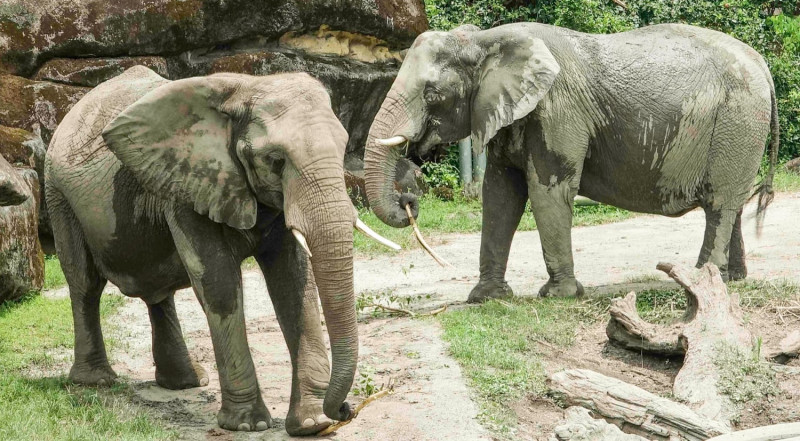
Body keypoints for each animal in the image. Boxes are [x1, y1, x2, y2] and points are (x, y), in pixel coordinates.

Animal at [45, 66, 396, 434]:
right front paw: (247, 425)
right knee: (85, 284)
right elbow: (219, 282)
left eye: (343, 149)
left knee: (157, 294)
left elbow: (293, 283)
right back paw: (95, 381)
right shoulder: (187, 185)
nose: (345, 409)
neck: (247, 88)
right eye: (276, 160)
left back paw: (186, 382)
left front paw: (312, 423)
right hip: (58, 194)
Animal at [366, 22, 780, 300]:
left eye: (432, 93)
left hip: (738, 119)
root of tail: (762, 63)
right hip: (740, 127)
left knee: (719, 204)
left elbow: (547, 192)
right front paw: (487, 299)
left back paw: (699, 282)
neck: (487, 40)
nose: (409, 197)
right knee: (730, 204)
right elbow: (500, 195)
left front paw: (559, 297)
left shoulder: (556, 110)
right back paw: (732, 279)